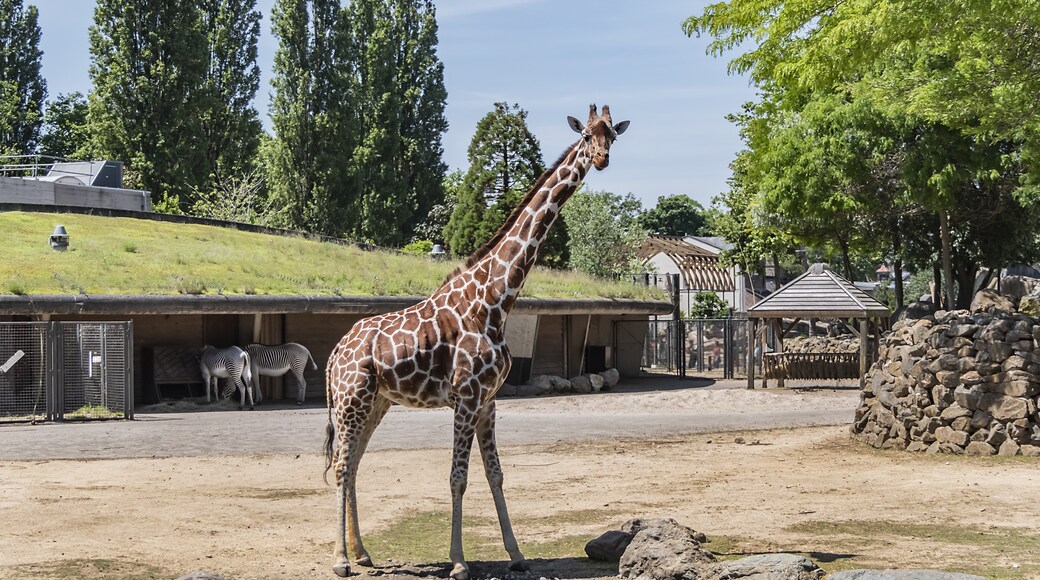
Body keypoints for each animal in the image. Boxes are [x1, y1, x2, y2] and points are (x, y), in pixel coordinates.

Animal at [320, 105, 628, 580]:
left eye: (613, 134)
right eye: (584, 136)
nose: (601, 159)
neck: (496, 301)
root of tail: (336, 353)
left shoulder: (489, 401)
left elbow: (496, 474)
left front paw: (517, 555)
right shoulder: (465, 398)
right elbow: (457, 478)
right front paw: (459, 562)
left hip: (376, 402)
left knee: (352, 463)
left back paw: (363, 553)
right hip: (350, 401)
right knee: (340, 465)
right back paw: (340, 560)